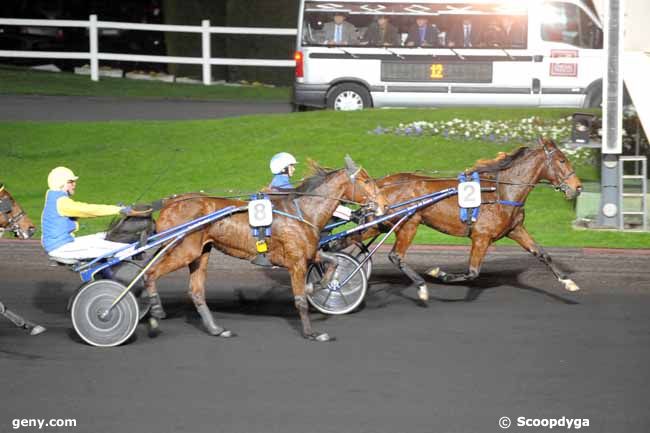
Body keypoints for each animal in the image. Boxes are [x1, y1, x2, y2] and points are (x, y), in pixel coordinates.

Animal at [143, 157, 384, 342]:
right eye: (365, 180)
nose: (381, 204)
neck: (302, 211)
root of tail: (169, 204)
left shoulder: (307, 254)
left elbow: (333, 262)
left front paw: (317, 286)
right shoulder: (295, 262)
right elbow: (300, 301)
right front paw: (311, 333)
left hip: (201, 253)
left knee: (196, 291)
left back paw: (215, 329)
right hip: (184, 251)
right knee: (150, 273)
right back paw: (155, 310)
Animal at [350, 137, 584, 298]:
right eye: (562, 160)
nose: (578, 187)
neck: (501, 192)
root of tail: (382, 183)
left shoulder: (515, 230)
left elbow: (543, 254)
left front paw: (568, 282)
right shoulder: (481, 237)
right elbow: (472, 272)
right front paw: (438, 273)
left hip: (383, 223)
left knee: (354, 239)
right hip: (408, 223)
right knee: (395, 256)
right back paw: (420, 286)